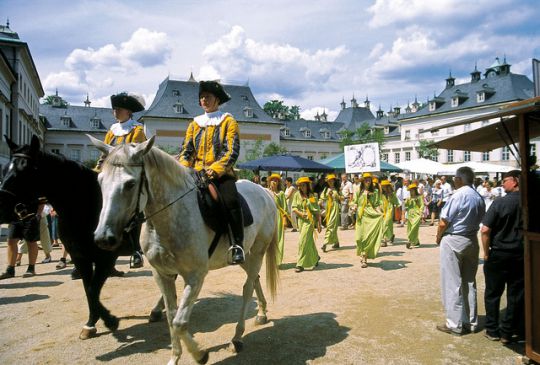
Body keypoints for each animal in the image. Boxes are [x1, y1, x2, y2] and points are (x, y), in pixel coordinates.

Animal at [0, 136, 156, 338]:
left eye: (24, 170)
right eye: (5, 169)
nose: (2, 208)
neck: (82, 205)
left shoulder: (105, 258)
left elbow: (92, 289)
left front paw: (109, 320)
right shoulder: (80, 257)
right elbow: (88, 289)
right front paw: (92, 322)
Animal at [89, 136, 278, 364]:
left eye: (130, 184)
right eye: (100, 181)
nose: (103, 237)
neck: (169, 217)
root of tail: (264, 191)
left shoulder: (195, 276)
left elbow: (179, 322)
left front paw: (200, 354)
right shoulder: (161, 274)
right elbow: (171, 317)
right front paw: (175, 358)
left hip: (257, 251)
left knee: (247, 287)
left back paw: (238, 337)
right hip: (243, 256)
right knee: (255, 279)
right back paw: (262, 313)